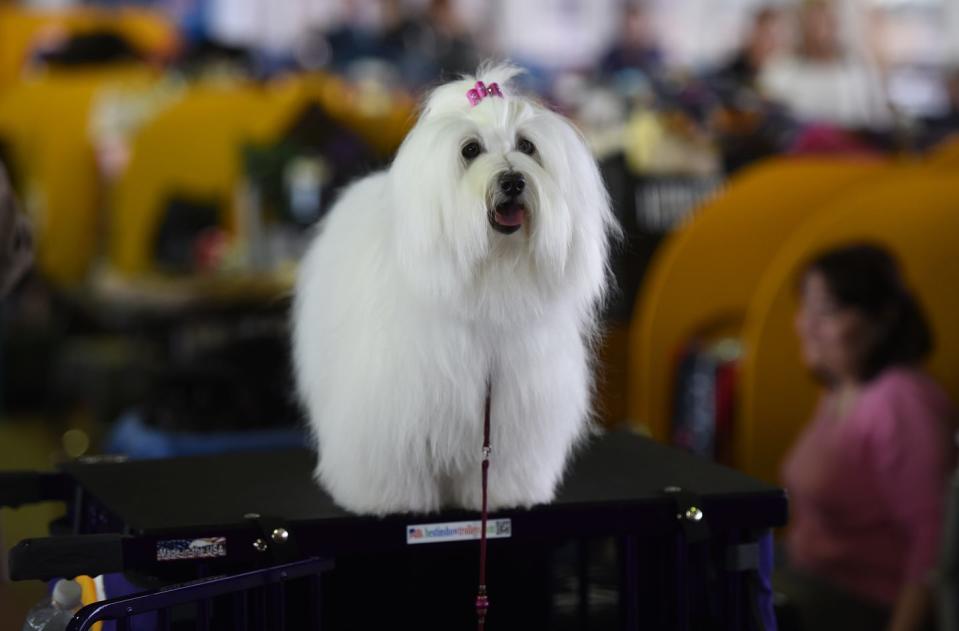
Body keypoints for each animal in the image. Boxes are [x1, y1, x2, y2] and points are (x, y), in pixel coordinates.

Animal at [292, 66, 620, 516]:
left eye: (527, 146)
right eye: (470, 150)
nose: (513, 181)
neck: (493, 275)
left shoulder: (513, 407)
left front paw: (502, 495)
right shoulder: (395, 404)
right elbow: (392, 455)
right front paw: (393, 500)